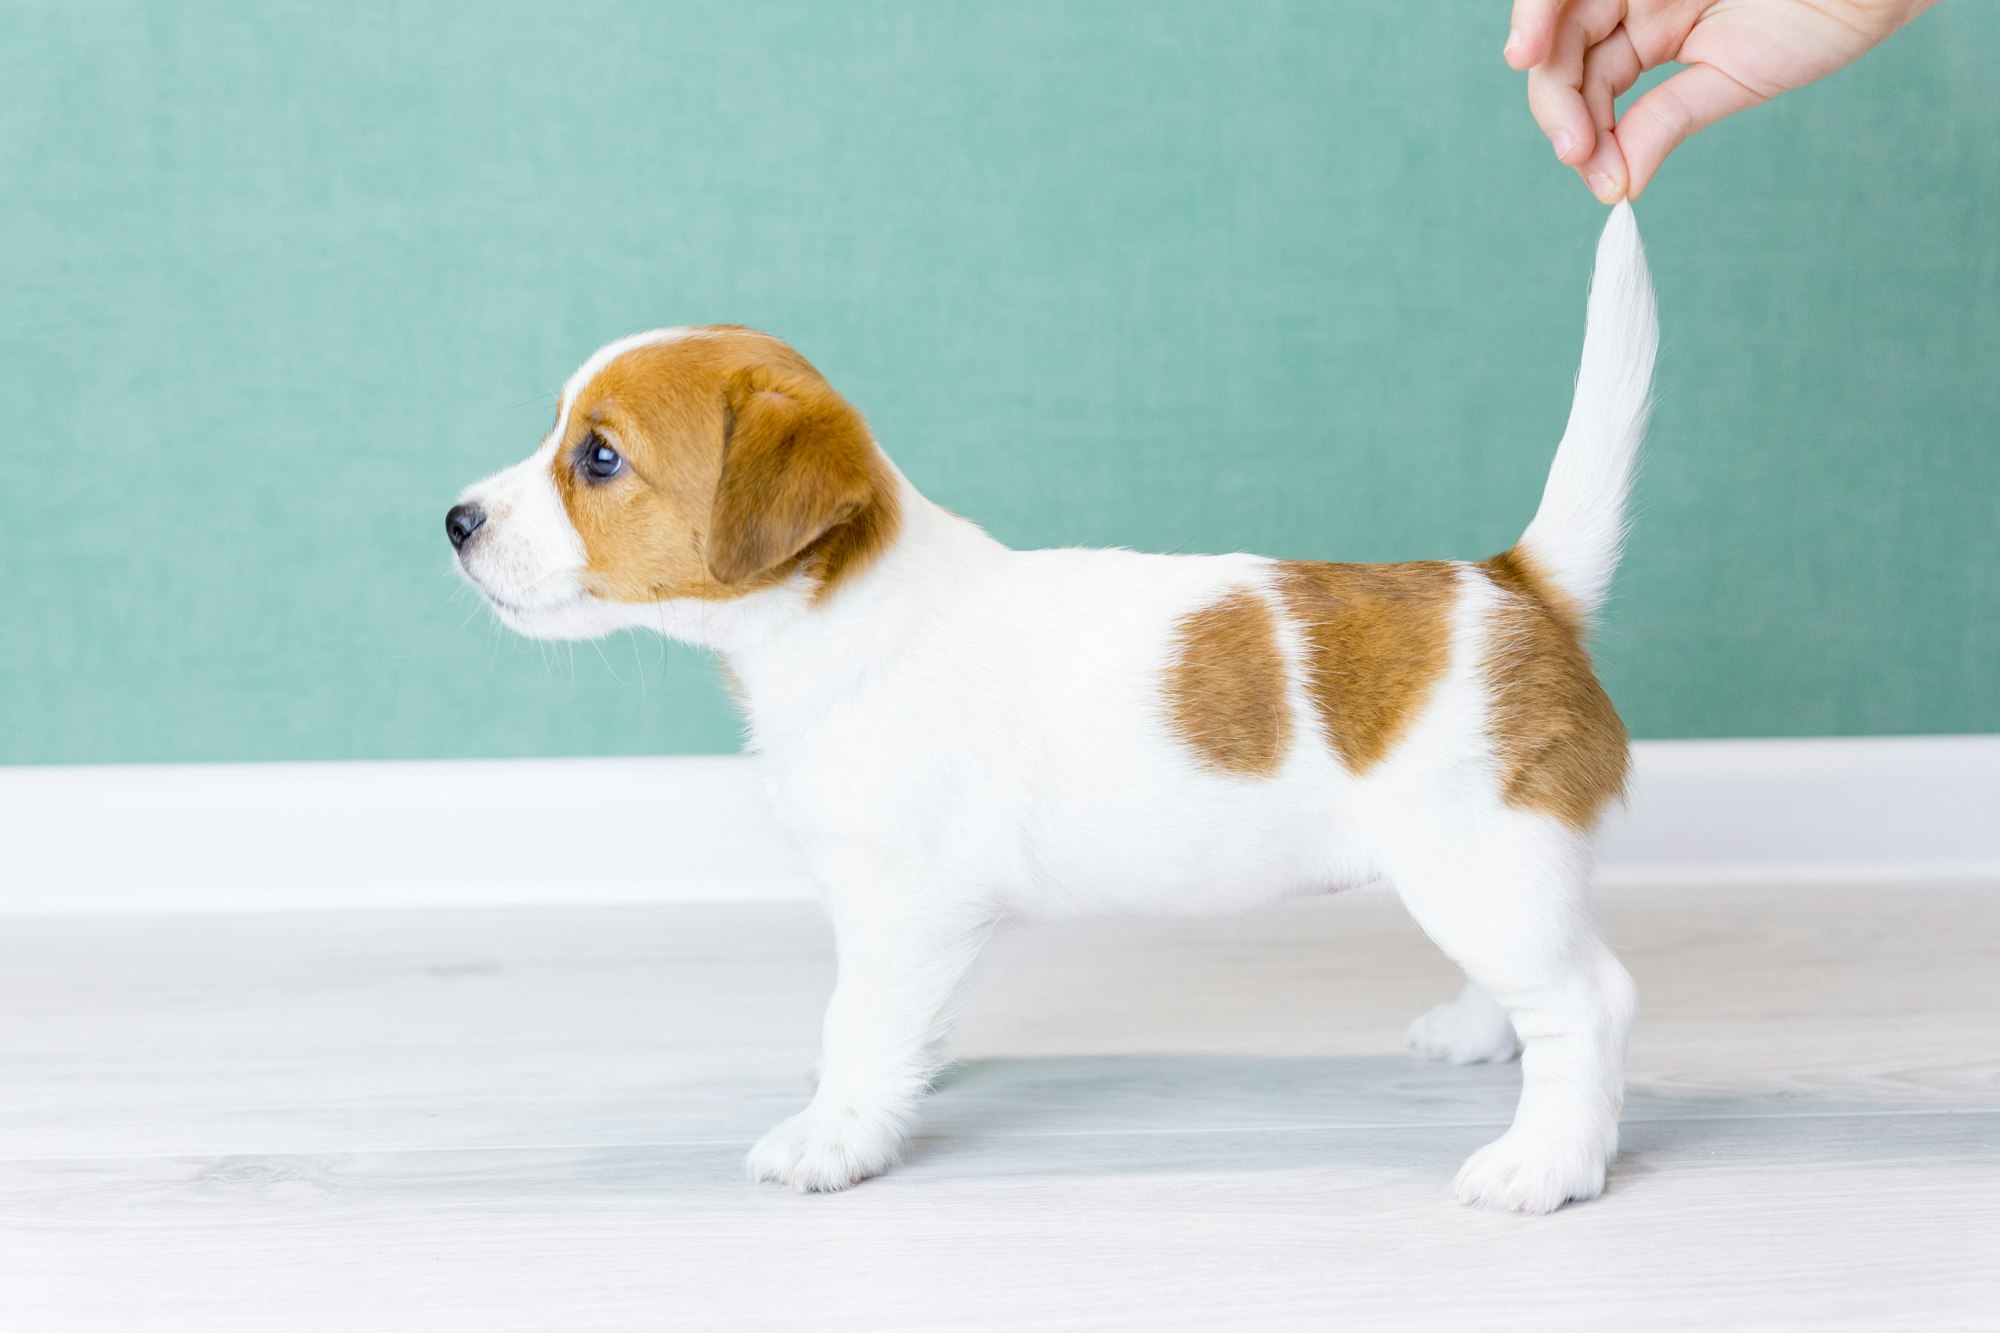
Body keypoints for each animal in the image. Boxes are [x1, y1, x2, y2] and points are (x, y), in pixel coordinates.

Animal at [450, 202, 1656, 1208]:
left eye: (599, 458)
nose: (454, 520)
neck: (844, 619)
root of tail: (1519, 582)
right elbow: (890, 1022)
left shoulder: (902, 904)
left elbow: (861, 1020)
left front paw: (834, 1133)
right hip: (1489, 874)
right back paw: (1480, 1032)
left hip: (1481, 864)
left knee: (1588, 1000)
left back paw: (1547, 1161)